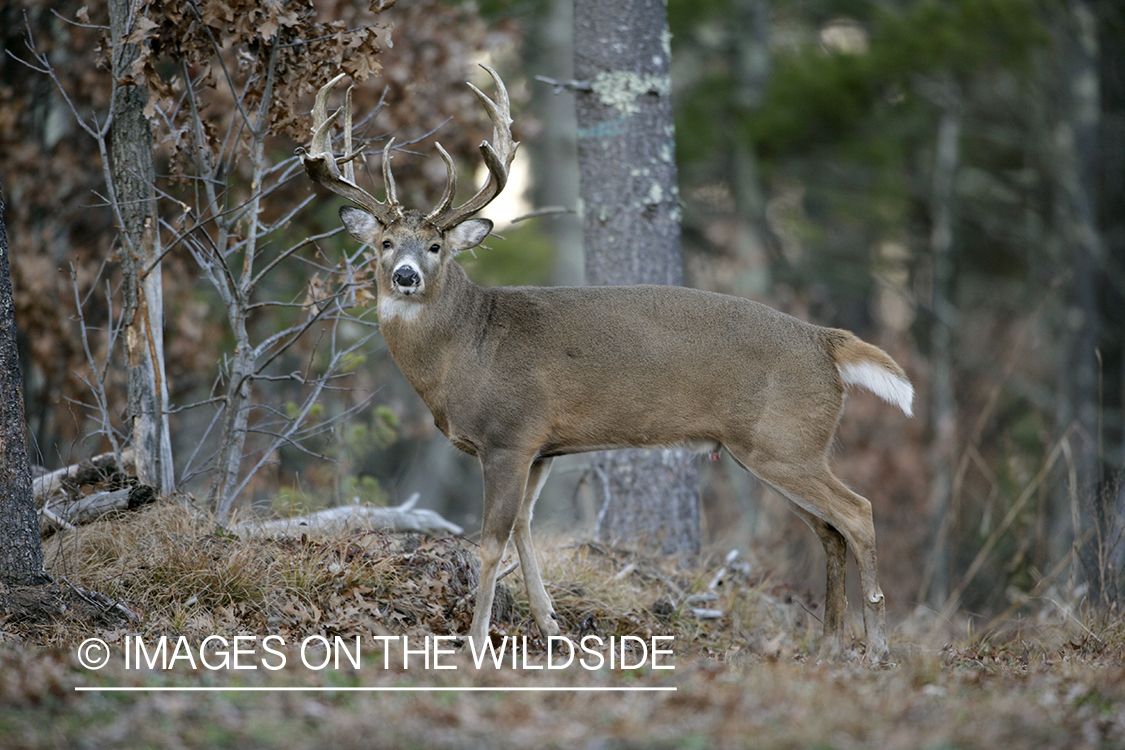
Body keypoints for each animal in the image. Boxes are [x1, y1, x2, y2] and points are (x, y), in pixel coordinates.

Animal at [301, 66, 913, 661]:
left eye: (435, 247)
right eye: (385, 242)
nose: (405, 276)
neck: (467, 345)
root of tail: (825, 341)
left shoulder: (509, 435)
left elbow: (491, 542)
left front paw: (475, 645)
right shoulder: (542, 447)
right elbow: (524, 528)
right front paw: (551, 628)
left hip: (785, 440)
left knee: (858, 512)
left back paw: (877, 651)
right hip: (774, 448)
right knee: (830, 530)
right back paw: (830, 647)